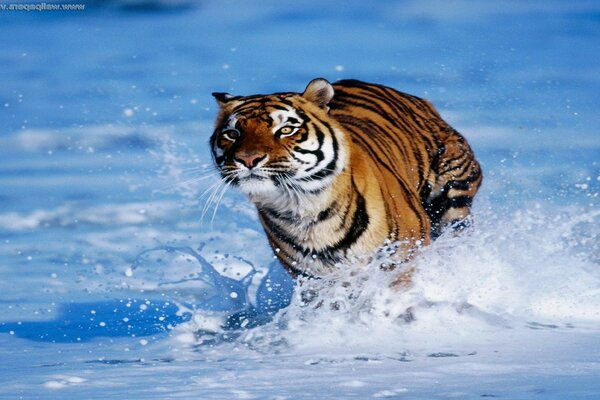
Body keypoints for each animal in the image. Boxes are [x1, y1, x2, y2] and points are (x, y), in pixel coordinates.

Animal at [211, 78, 482, 278]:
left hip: (453, 198)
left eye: (286, 129)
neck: (303, 209)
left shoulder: (402, 257)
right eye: (232, 134)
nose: (247, 159)